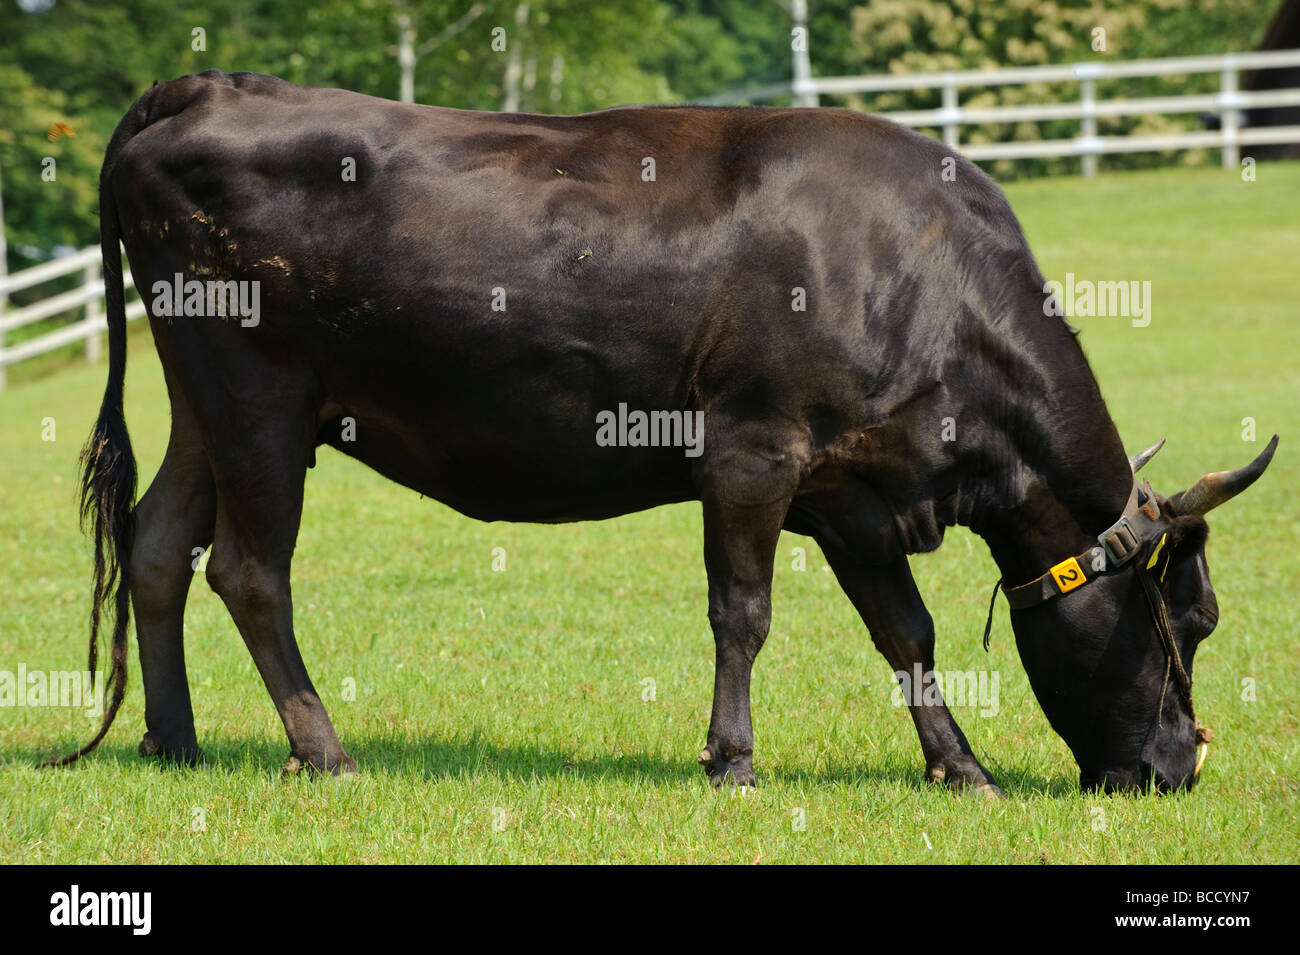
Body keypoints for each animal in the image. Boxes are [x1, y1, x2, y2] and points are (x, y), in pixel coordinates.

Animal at [58, 70, 1268, 795]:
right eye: (1190, 621)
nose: (1175, 770)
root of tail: (212, 86)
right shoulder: (751, 449)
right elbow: (743, 613)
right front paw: (732, 760)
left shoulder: (851, 489)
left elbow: (907, 631)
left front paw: (958, 766)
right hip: (256, 398)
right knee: (249, 571)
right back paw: (324, 748)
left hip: (203, 403)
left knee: (158, 544)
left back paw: (174, 738)